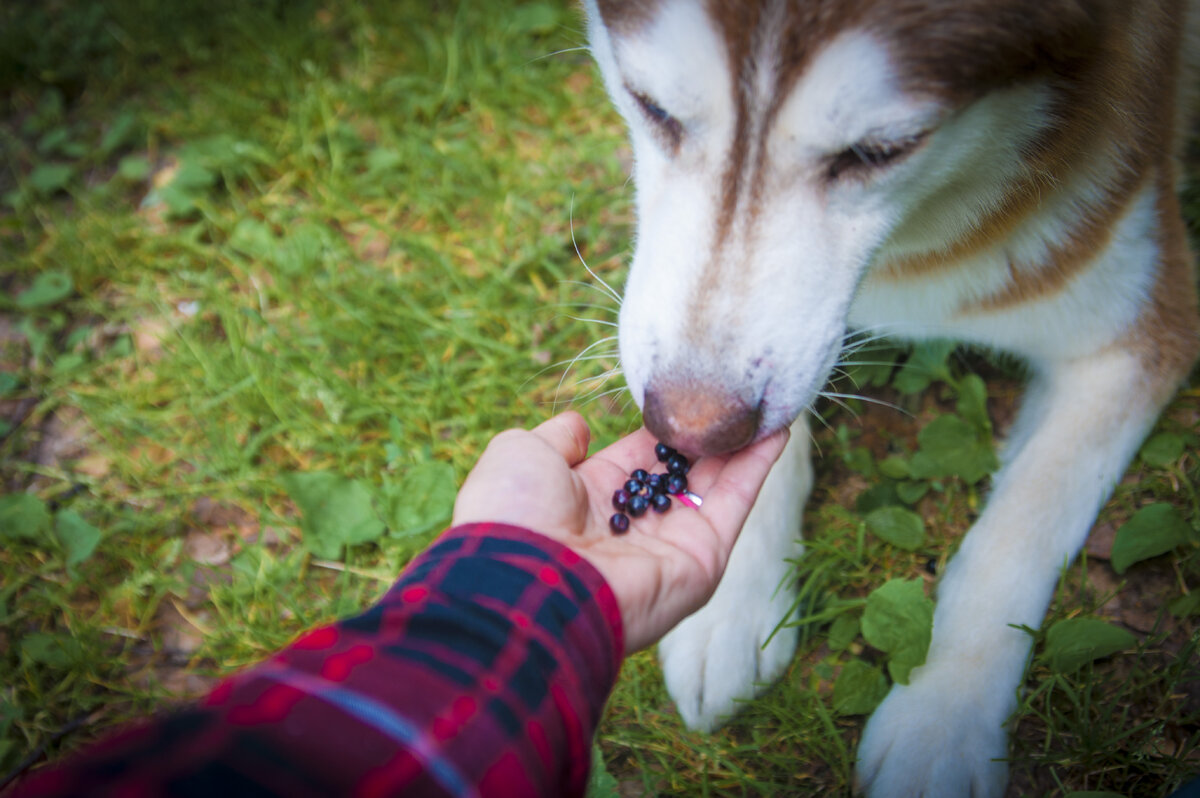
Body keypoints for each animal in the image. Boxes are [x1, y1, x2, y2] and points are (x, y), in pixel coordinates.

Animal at [585, 0, 1195, 792]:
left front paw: (944, 719)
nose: (688, 431)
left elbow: (1018, 527)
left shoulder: (1137, 324)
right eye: (651, 106)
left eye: (883, 151)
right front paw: (728, 602)